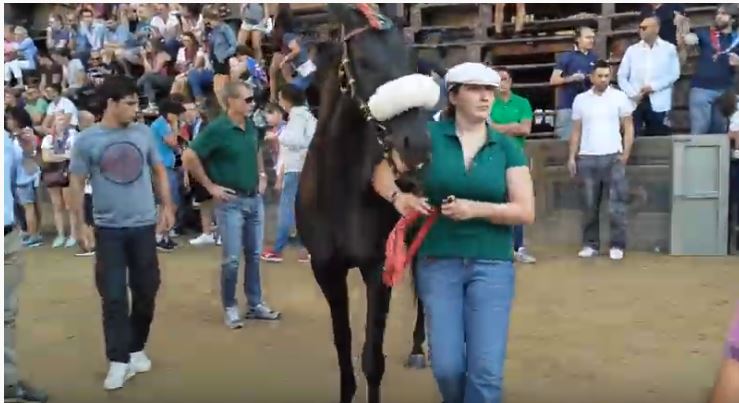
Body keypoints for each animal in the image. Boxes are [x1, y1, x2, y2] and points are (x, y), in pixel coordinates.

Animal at [295, 4, 440, 403]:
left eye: (409, 57)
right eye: (361, 59)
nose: (416, 146)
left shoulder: (377, 267)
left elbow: (372, 357)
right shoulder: (326, 269)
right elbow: (343, 344)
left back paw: (419, 349)